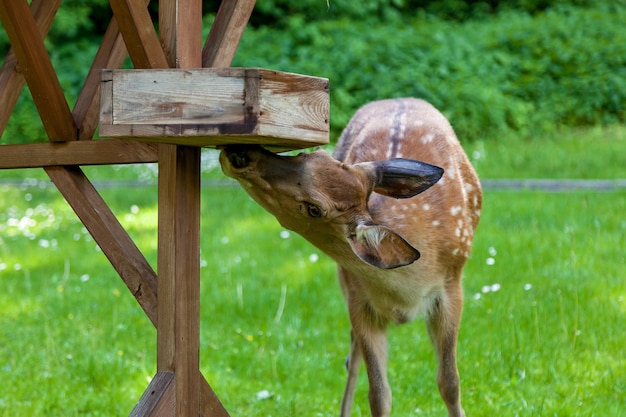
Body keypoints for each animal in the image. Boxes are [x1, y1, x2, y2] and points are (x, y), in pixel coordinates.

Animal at [219, 98, 482, 416]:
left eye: (314, 209)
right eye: (305, 154)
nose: (241, 154)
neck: (407, 287)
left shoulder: (451, 287)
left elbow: (450, 382)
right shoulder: (358, 297)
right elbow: (378, 395)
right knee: (352, 357)